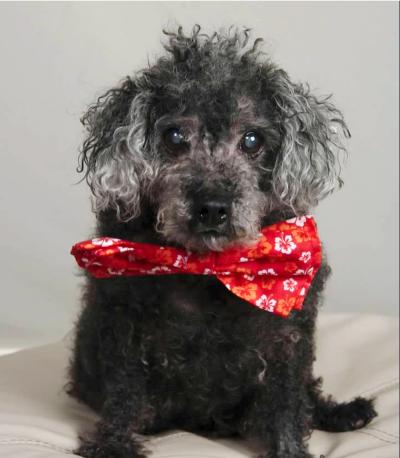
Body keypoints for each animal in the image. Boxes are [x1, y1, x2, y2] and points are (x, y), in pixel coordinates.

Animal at [67, 26, 376, 458]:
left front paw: (289, 449)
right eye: (174, 136)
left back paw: (344, 413)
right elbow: (124, 394)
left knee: (308, 396)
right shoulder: (123, 322)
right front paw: (112, 445)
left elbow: (286, 401)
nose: (212, 207)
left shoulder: (288, 334)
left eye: (252, 140)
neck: (207, 266)